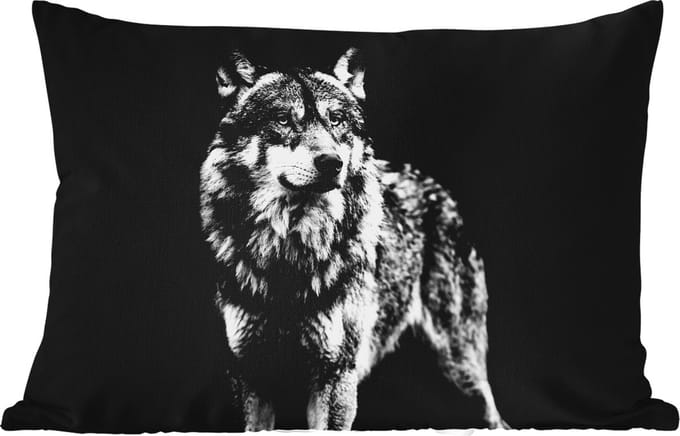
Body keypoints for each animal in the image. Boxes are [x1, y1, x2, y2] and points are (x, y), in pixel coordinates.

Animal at [199, 48, 507, 430]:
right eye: (284, 119)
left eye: (337, 120)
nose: (332, 162)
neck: (290, 255)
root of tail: (438, 189)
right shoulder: (251, 377)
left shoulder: (335, 376)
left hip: (461, 370)